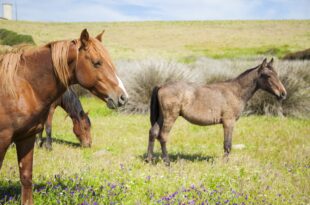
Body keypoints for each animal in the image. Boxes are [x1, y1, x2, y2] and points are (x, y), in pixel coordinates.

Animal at [0, 29, 128, 205]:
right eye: (97, 63)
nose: (123, 97)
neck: (23, 86)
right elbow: (48, 127)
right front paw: (48, 146)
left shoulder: (26, 136)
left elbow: (26, 177)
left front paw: (42, 144)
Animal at [147, 58, 286, 166]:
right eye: (268, 76)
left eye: (277, 74)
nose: (283, 94)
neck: (235, 91)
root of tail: (161, 86)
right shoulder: (229, 122)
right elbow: (227, 145)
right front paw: (225, 164)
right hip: (170, 117)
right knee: (163, 136)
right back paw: (167, 162)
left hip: (162, 117)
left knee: (153, 132)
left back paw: (149, 159)